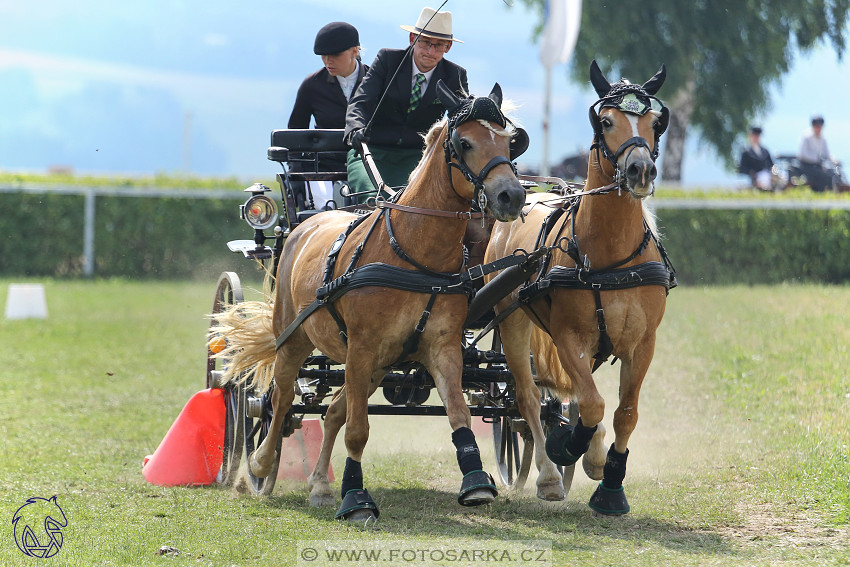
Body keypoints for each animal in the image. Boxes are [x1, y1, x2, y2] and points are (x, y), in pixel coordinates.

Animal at [211, 82, 528, 520]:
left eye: (509, 141)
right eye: (464, 143)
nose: (511, 196)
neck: (413, 253)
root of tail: (308, 222)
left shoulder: (440, 347)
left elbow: (458, 412)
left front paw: (477, 481)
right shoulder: (361, 347)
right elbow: (358, 430)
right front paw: (356, 499)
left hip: (376, 365)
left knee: (332, 412)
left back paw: (320, 485)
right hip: (295, 340)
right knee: (280, 398)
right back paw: (260, 465)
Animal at [484, 62, 676, 516]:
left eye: (655, 122)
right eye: (605, 121)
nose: (641, 170)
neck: (610, 256)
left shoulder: (643, 343)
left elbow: (624, 412)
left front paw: (610, 483)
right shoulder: (569, 337)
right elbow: (590, 403)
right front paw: (567, 446)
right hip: (513, 324)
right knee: (527, 399)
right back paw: (549, 474)